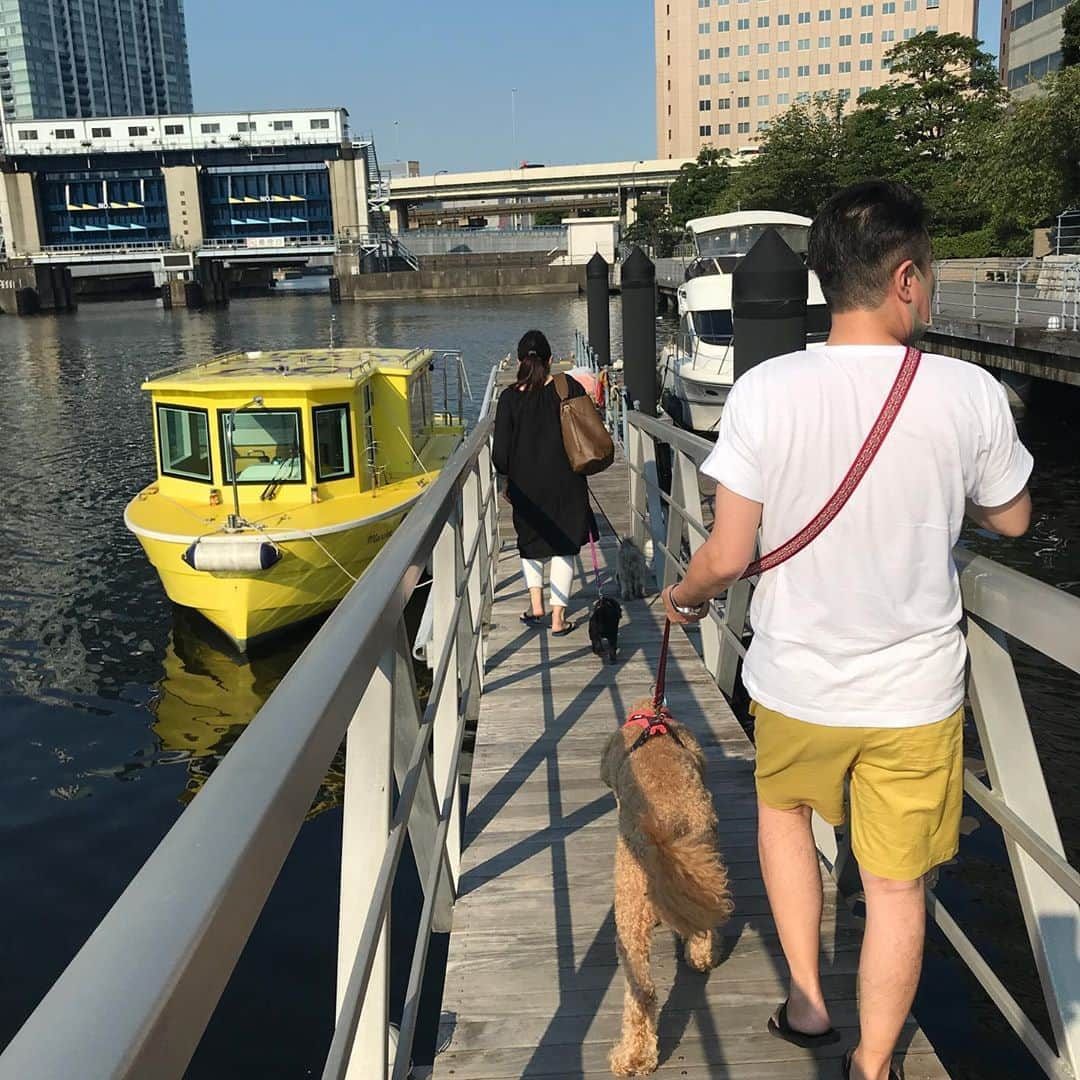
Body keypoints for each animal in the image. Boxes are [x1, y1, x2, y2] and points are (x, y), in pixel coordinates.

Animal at [600, 699, 734, 1071]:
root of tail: (665, 829)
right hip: (703, 869)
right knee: (704, 925)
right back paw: (703, 958)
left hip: (628, 909)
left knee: (642, 992)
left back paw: (632, 1058)